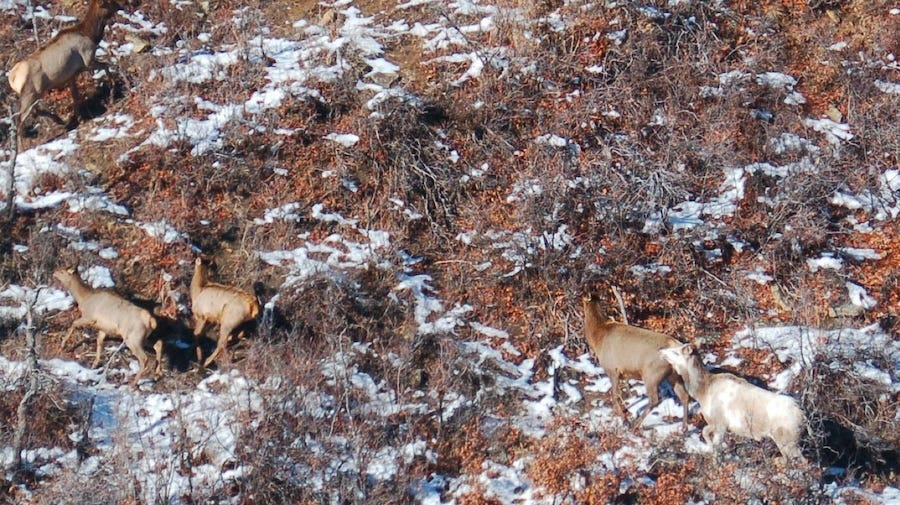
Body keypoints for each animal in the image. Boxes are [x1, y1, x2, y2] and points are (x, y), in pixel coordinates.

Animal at [7, 0, 125, 144]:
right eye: (109, 2)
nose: (121, 5)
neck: (91, 35)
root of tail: (12, 79)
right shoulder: (87, 61)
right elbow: (106, 66)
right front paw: (113, 92)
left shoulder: (71, 76)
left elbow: (75, 96)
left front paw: (80, 118)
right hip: (30, 93)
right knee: (20, 119)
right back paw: (23, 144)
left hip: (33, 94)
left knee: (32, 112)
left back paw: (60, 121)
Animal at [584, 290, 688, 428]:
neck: (597, 338)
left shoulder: (612, 369)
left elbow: (615, 395)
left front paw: (624, 419)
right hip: (674, 375)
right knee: (684, 396)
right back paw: (684, 427)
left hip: (651, 374)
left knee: (655, 399)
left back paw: (635, 424)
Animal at [656, 342, 804, 460]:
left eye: (676, 352)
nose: (661, 351)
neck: (702, 392)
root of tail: (802, 415)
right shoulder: (715, 422)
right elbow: (704, 432)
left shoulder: (721, 423)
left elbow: (715, 445)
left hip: (787, 440)